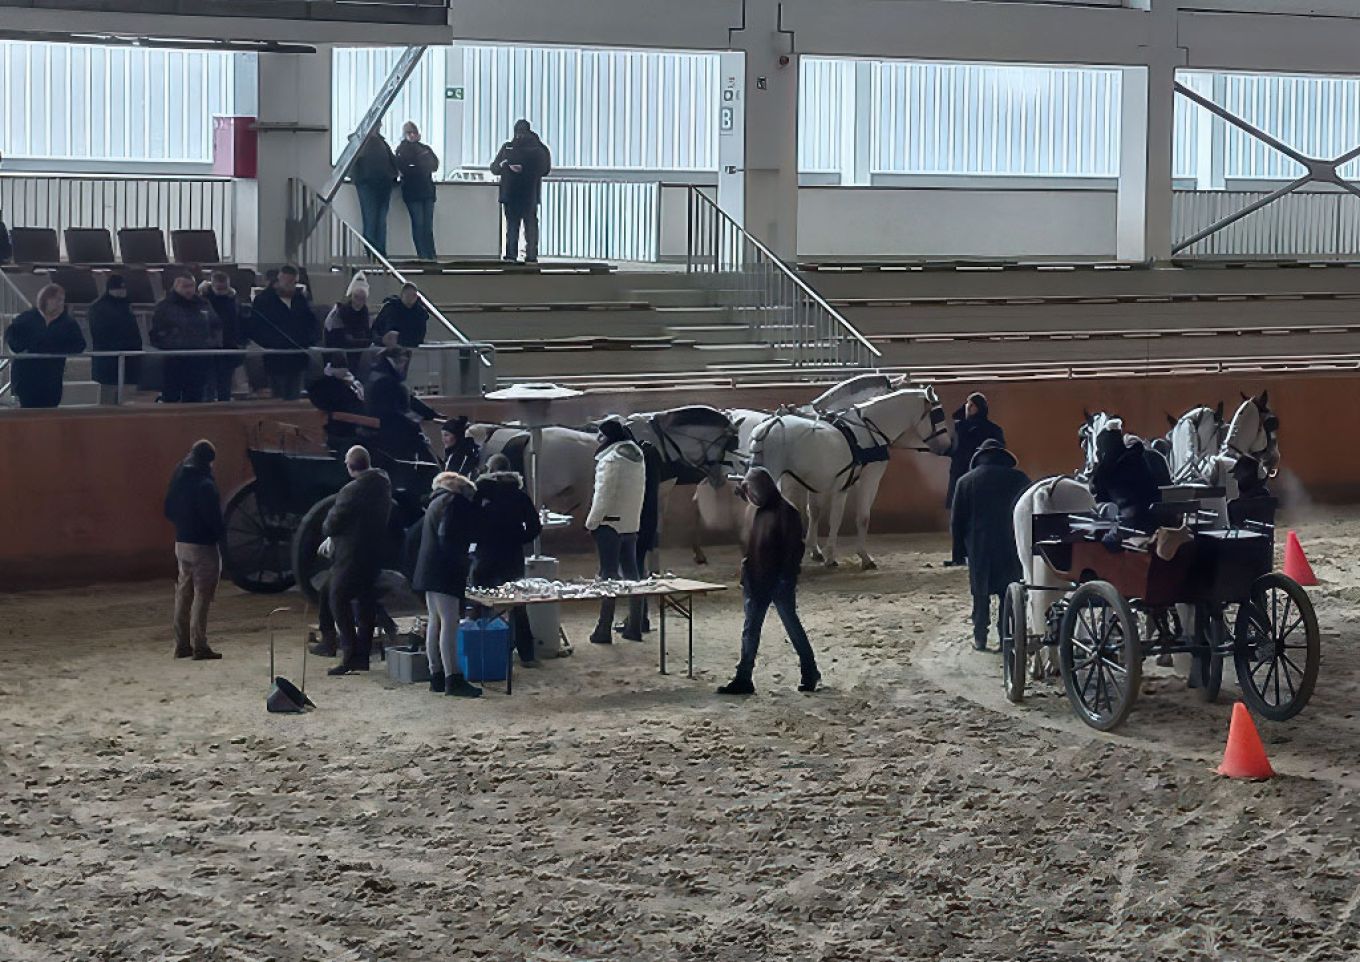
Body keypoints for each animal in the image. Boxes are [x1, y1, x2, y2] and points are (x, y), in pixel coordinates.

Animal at [750, 386, 952, 568]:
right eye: (938, 415)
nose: (947, 447)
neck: (868, 431)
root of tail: (768, 426)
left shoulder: (819, 482)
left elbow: (816, 512)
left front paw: (817, 551)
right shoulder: (867, 479)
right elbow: (858, 517)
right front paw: (857, 557)